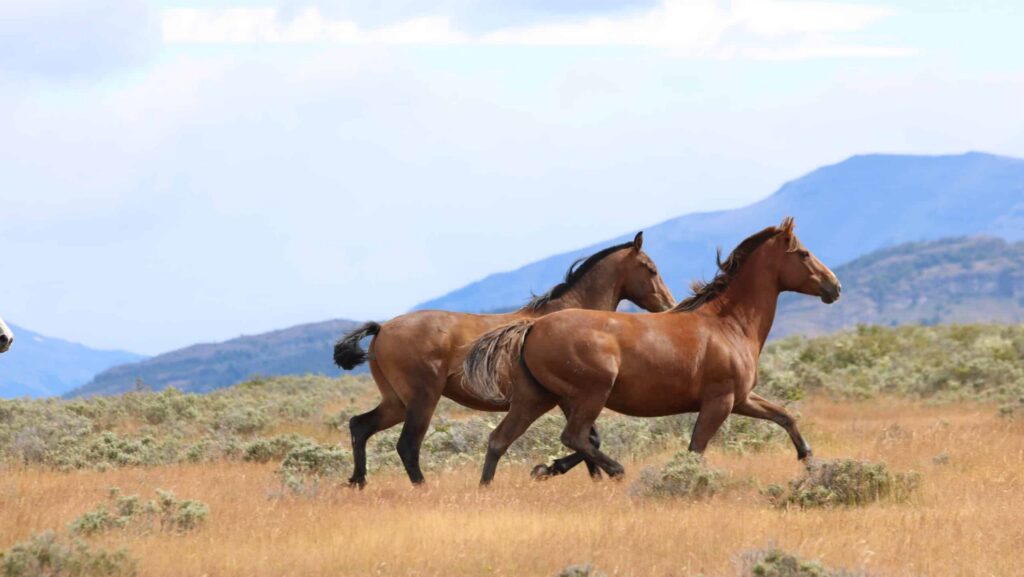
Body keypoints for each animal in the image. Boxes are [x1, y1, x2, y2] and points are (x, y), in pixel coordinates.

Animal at [334, 232, 676, 487]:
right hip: (422, 399)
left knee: (360, 426)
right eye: (651, 269)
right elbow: (587, 439)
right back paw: (422, 488)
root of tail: (382, 329)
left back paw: (357, 481)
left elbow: (590, 440)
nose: (668, 306)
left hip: (395, 402)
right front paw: (550, 470)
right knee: (407, 445)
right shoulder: (571, 397)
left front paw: (576, 474)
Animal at [464, 217, 841, 485]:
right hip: (589, 394)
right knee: (573, 437)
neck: (730, 324)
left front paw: (808, 460)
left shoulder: (741, 398)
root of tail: (532, 327)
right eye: (804, 254)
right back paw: (612, 471)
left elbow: (785, 416)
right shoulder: (719, 402)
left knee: (499, 440)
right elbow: (695, 450)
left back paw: (495, 487)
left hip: (536, 397)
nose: (834, 287)